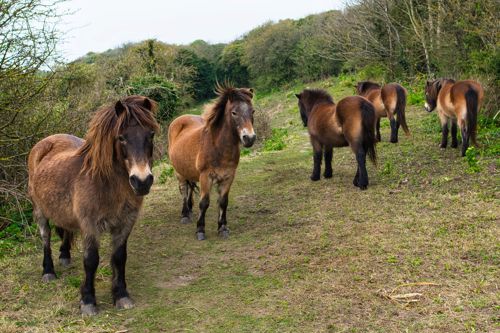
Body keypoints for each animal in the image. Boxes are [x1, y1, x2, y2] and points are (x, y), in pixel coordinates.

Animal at [27, 95, 160, 314]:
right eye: (121, 137)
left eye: (151, 134)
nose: (142, 181)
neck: (105, 183)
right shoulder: (89, 225)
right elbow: (91, 261)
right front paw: (88, 301)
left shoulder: (125, 223)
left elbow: (119, 257)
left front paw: (121, 295)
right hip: (39, 210)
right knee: (45, 236)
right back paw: (48, 271)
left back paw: (65, 256)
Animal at [169, 85, 256, 241]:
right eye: (234, 112)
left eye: (253, 111)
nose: (249, 138)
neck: (218, 147)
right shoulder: (206, 177)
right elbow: (204, 203)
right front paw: (200, 230)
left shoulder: (228, 177)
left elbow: (223, 202)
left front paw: (223, 228)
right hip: (179, 172)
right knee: (184, 190)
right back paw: (185, 215)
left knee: (189, 188)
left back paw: (190, 211)